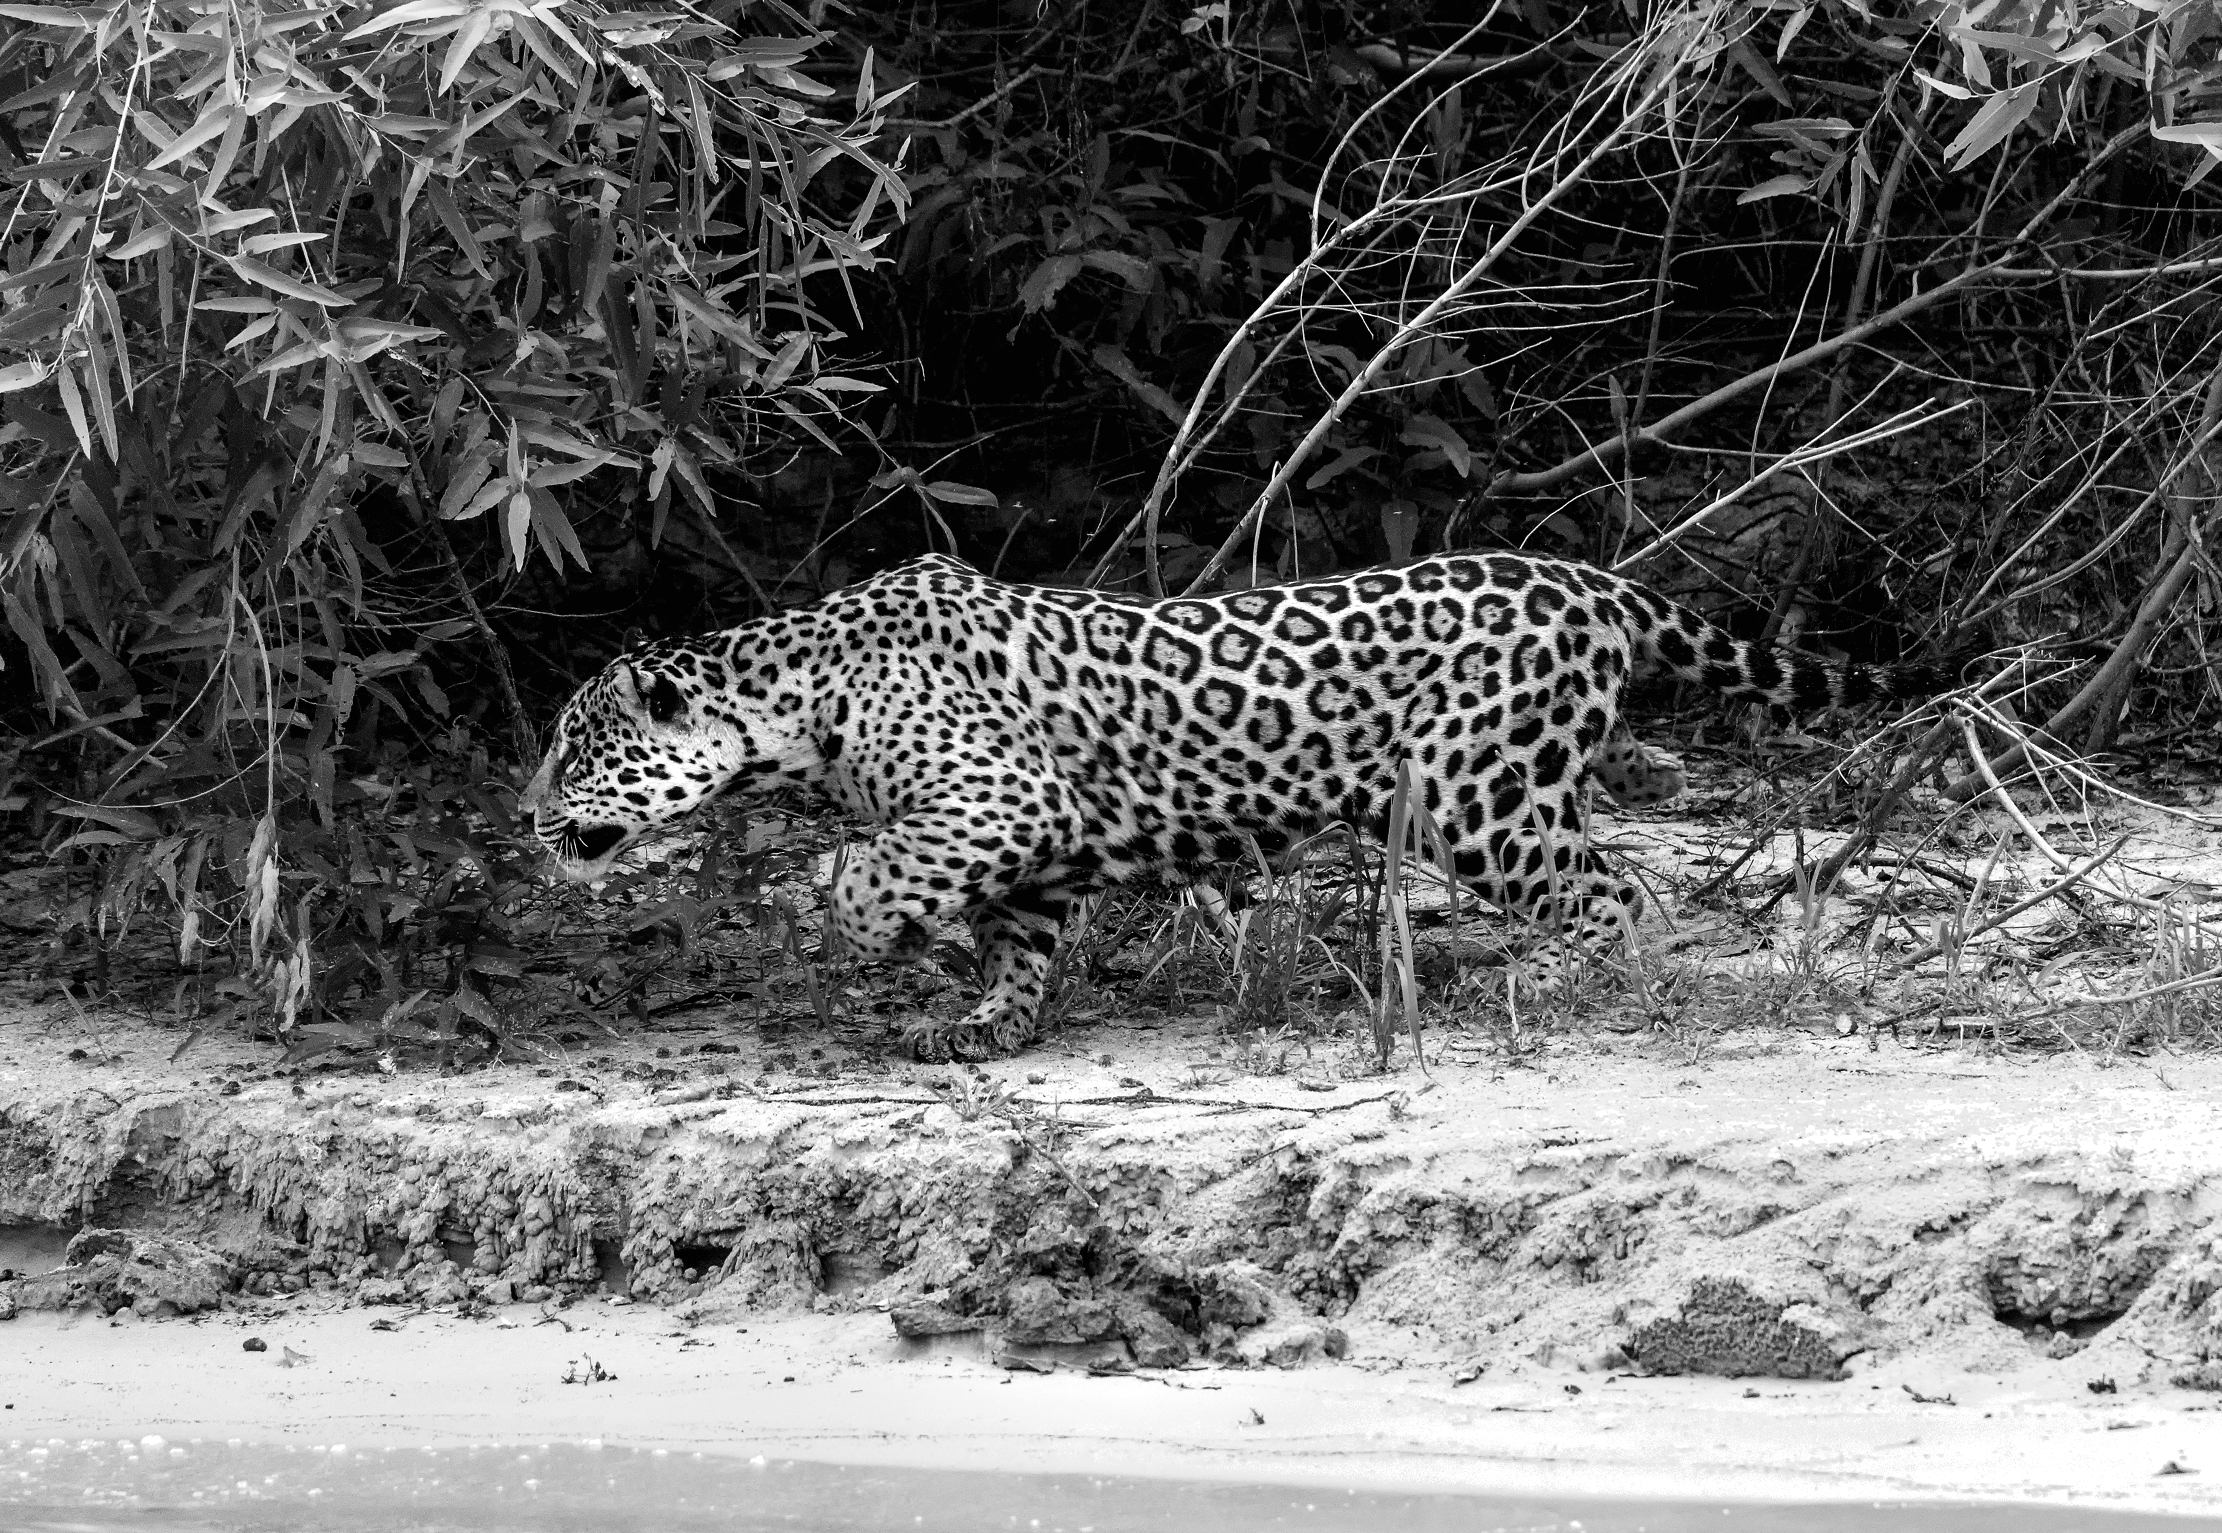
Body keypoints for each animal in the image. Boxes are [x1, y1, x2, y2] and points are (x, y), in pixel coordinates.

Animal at [521, 551, 1959, 1059]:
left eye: (573, 747)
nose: (525, 821)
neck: (794, 702)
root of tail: (1587, 581)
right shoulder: (1033, 844)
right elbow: (1017, 942)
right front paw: (982, 1026)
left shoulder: (998, 795)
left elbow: (875, 871)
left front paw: (852, 930)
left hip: (1476, 792)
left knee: (1615, 889)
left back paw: (1575, 988)